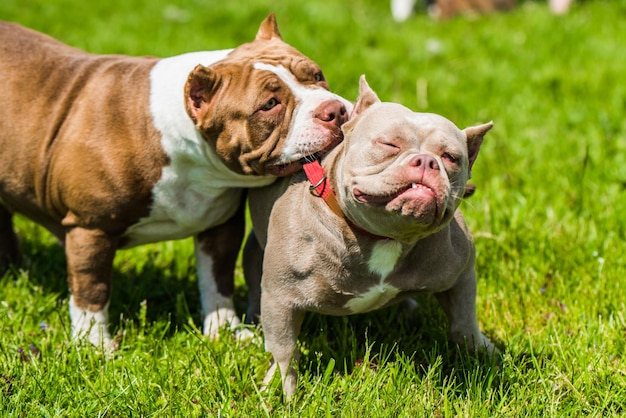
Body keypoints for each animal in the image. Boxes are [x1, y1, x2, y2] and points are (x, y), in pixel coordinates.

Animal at [0, 14, 352, 348]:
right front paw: (94, 344)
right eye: (269, 105)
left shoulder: (220, 226)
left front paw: (225, 330)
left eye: (317, 75)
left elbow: (217, 280)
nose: (334, 110)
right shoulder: (90, 228)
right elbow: (92, 290)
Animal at [244, 76, 492, 400]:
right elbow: (285, 352)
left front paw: (482, 352)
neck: (387, 237)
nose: (427, 161)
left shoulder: (461, 273)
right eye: (388, 144)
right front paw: (283, 391)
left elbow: (464, 322)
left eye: (451, 158)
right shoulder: (280, 298)